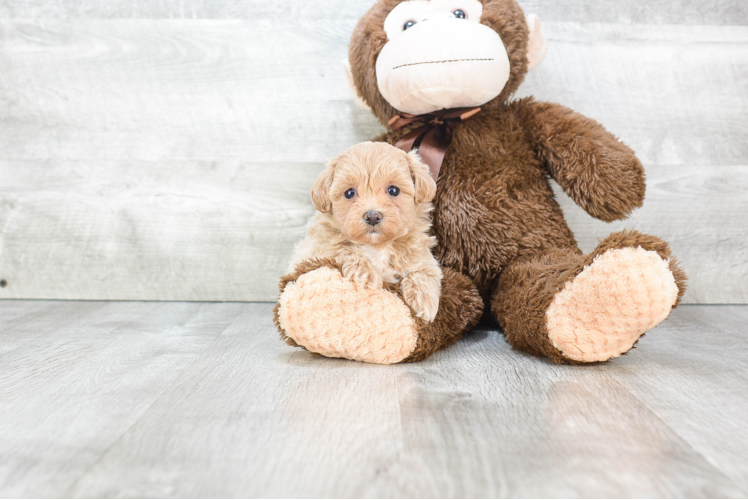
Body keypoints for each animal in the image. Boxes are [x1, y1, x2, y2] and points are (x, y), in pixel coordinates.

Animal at [290, 140, 442, 324]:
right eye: (349, 193)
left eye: (393, 190)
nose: (372, 216)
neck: (377, 246)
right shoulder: (319, 249)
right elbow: (343, 250)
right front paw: (365, 274)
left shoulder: (421, 255)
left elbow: (424, 272)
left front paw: (424, 302)